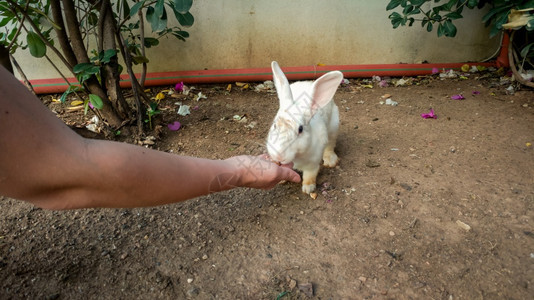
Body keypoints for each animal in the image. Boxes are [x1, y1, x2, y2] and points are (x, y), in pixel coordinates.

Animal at [266, 61, 344, 195]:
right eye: (275, 125)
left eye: (300, 129)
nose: (279, 156)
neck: (297, 156)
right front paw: (281, 179)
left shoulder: (312, 163)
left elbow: (310, 175)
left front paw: (308, 188)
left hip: (334, 126)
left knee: (330, 145)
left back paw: (330, 160)